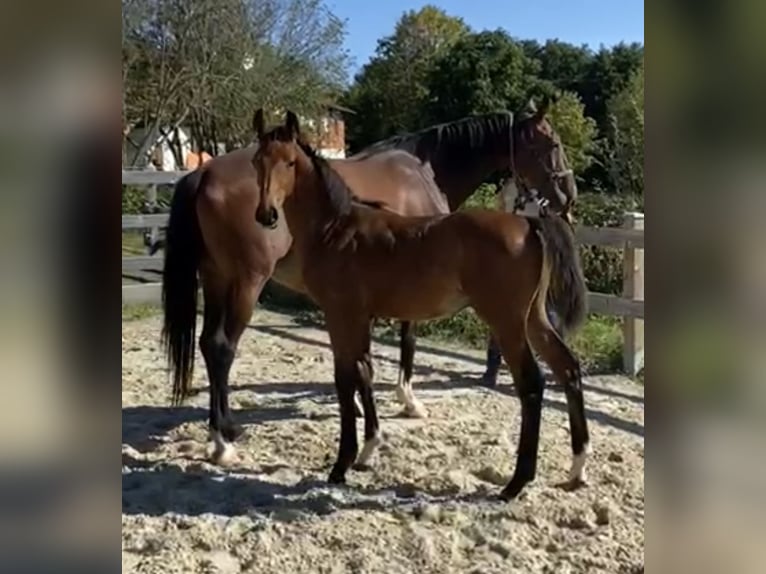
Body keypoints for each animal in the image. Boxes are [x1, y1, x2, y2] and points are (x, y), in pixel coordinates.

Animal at [160, 101, 584, 466]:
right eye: (552, 143)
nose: (569, 195)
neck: (425, 169)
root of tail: (202, 173)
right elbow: (406, 341)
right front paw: (407, 401)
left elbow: (362, 358)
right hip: (247, 281)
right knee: (223, 347)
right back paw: (224, 441)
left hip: (216, 277)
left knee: (208, 344)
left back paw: (218, 433)